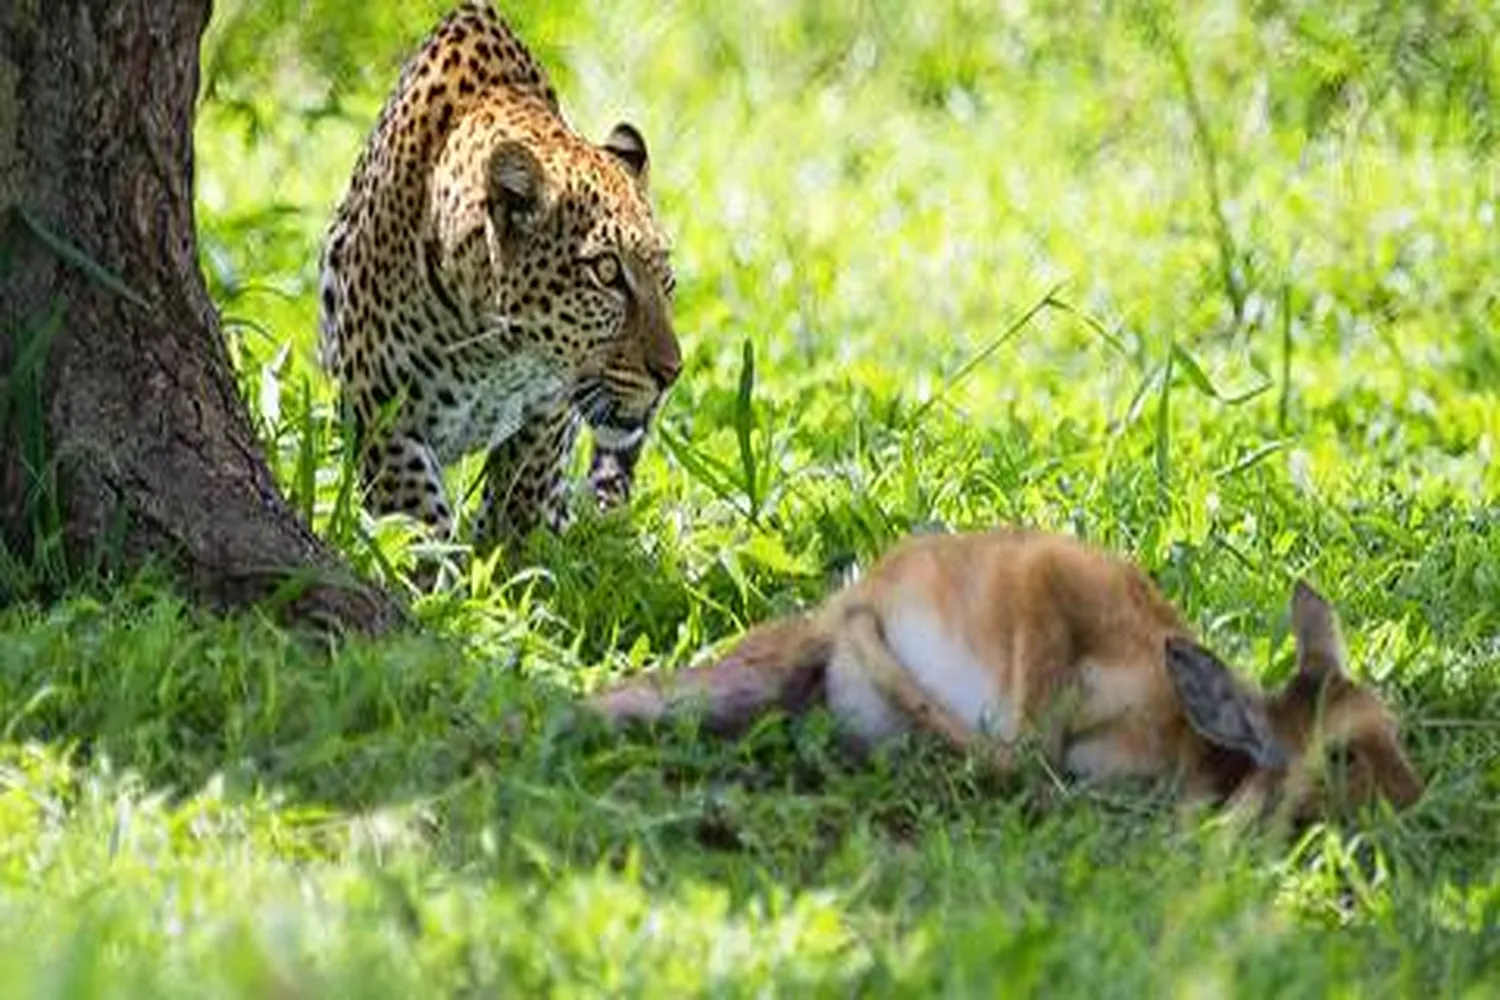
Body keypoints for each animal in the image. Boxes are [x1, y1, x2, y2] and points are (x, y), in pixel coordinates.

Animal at [318, 1, 681, 554]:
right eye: (606, 274)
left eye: (668, 283)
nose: (672, 373)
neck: (492, 351)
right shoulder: (377, 407)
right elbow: (415, 514)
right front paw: (435, 572)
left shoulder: (550, 408)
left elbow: (523, 490)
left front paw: (512, 558)